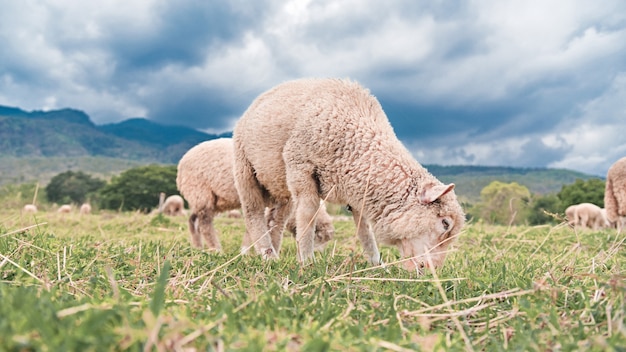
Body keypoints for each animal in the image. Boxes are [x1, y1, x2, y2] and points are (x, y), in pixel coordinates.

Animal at [173, 138, 334, 250]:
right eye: (318, 238)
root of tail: (181, 164)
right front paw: (247, 250)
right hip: (201, 192)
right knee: (204, 224)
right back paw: (216, 249)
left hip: (199, 198)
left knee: (193, 221)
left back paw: (198, 247)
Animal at [230, 77, 464, 270]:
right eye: (445, 223)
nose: (431, 271)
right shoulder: (301, 166)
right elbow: (308, 215)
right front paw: (307, 261)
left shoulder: (358, 188)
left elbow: (364, 231)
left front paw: (377, 264)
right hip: (245, 168)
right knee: (253, 214)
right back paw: (266, 254)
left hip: (280, 185)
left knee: (275, 221)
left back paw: (274, 254)